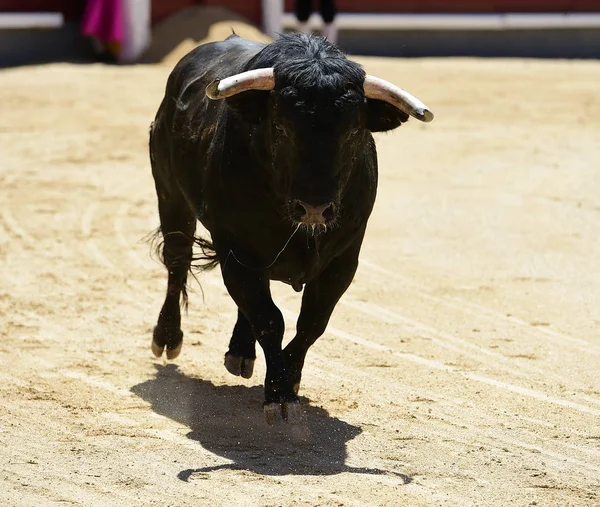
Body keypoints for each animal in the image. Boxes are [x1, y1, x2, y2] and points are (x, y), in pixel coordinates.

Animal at [148, 32, 434, 424]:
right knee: (177, 261)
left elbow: (311, 321)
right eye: (281, 128)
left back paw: (240, 353)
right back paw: (167, 338)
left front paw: (290, 380)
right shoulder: (235, 249)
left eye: (353, 132)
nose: (314, 209)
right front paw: (278, 394)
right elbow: (270, 318)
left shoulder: (344, 259)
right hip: (170, 195)